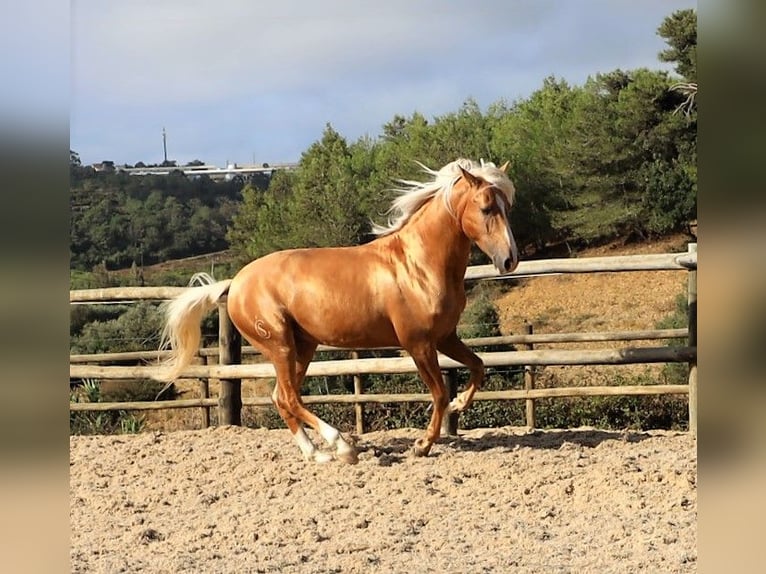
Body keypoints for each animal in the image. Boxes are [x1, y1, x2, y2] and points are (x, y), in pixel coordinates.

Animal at [158, 158, 520, 464]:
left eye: (508, 206)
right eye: (486, 208)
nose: (509, 260)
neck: (418, 265)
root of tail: (235, 283)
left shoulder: (445, 337)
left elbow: (478, 366)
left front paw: (460, 405)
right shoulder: (418, 344)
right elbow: (440, 393)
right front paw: (422, 445)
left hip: (302, 347)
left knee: (281, 397)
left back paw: (316, 454)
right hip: (280, 345)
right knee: (289, 398)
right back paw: (342, 446)